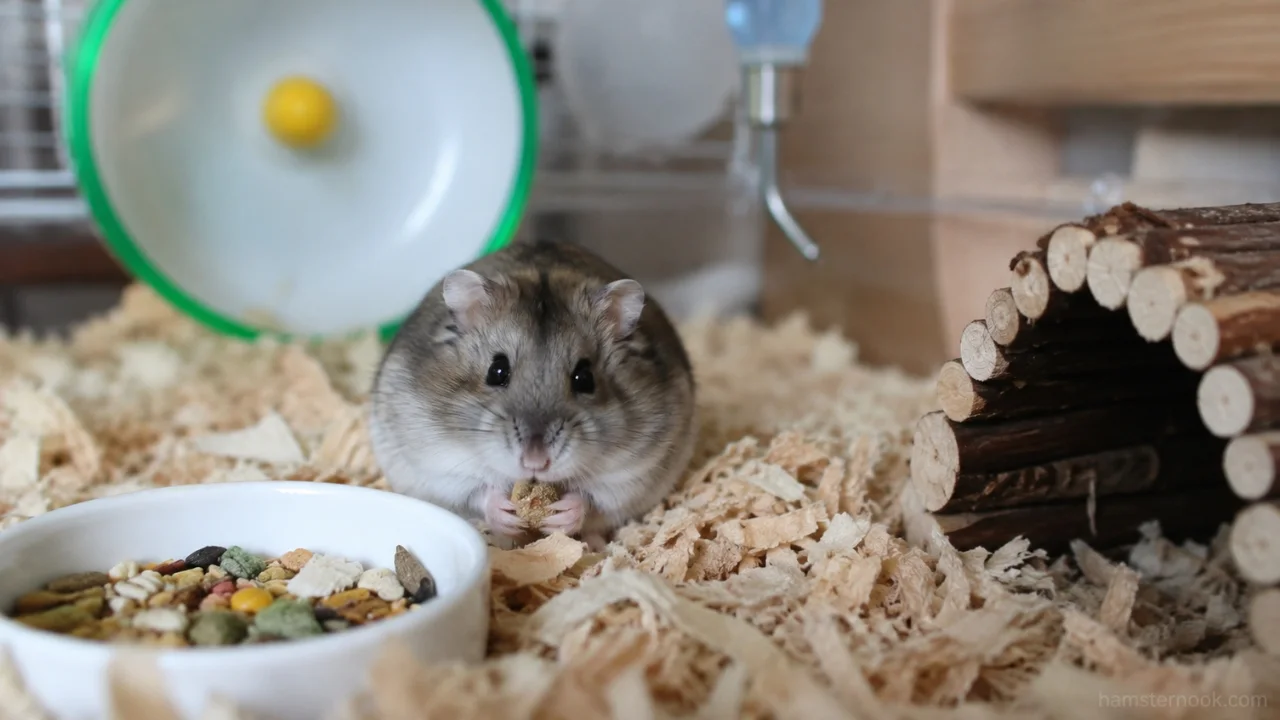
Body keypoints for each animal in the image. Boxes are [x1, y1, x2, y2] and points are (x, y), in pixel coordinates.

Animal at [367, 239, 698, 548]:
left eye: (585, 378)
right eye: (497, 371)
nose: (535, 462)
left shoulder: (632, 473)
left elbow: (592, 498)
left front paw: (563, 514)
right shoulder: (440, 469)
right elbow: (477, 491)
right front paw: (505, 513)